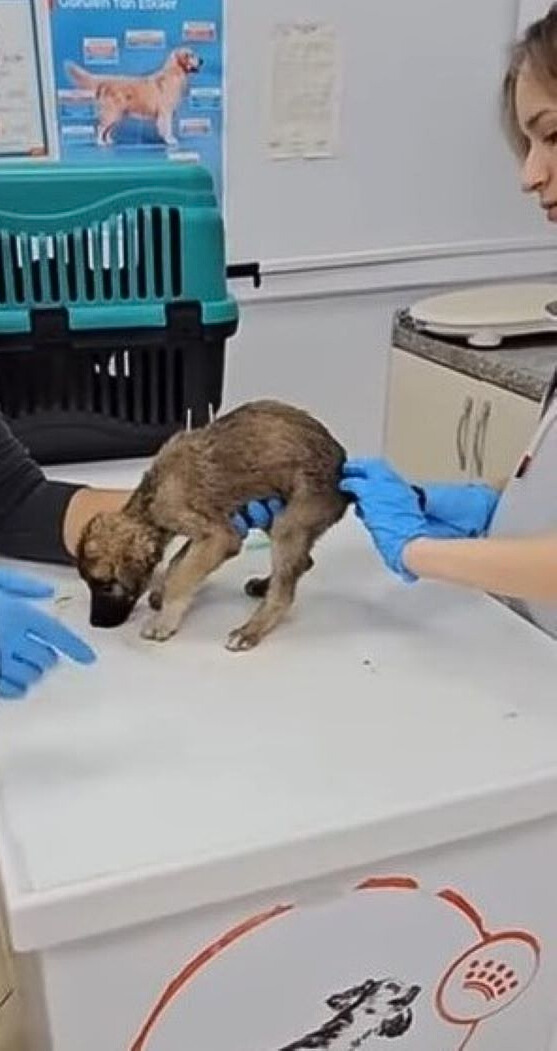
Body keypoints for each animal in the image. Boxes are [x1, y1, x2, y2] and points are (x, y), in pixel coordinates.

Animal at [63, 48, 201, 146]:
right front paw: (170, 140)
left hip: (117, 114)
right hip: (112, 113)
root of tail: (106, 80)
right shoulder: (165, 112)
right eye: (190, 55)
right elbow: (167, 128)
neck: (174, 74)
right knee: (101, 127)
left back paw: (109, 141)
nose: (202, 60)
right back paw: (100, 142)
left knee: (107, 129)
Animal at [76, 399, 348, 651]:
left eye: (106, 586)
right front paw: (162, 594)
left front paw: (164, 620)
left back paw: (250, 630)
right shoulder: (207, 531)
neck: (149, 501)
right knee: (304, 562)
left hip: (290, 520)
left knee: (285, 592)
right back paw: (263, 586)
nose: (95, 624)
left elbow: (182, 574)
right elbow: (177, 563)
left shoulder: (218, 536)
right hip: (276, 514)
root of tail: (342, 468)